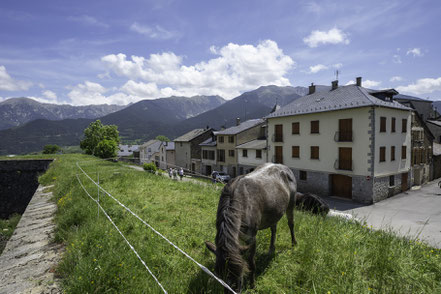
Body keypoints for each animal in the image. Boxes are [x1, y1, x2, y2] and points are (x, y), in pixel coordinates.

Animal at [205, 163, 296, 292]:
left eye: (239, 273)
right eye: (219, 275)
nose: (234, 291)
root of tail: (283, 166)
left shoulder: (251, 238)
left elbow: (251, 262)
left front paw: (253, 285)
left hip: (291, 204)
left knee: (291, 224)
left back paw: (294, 243)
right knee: (273, 229)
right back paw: (271, 249)